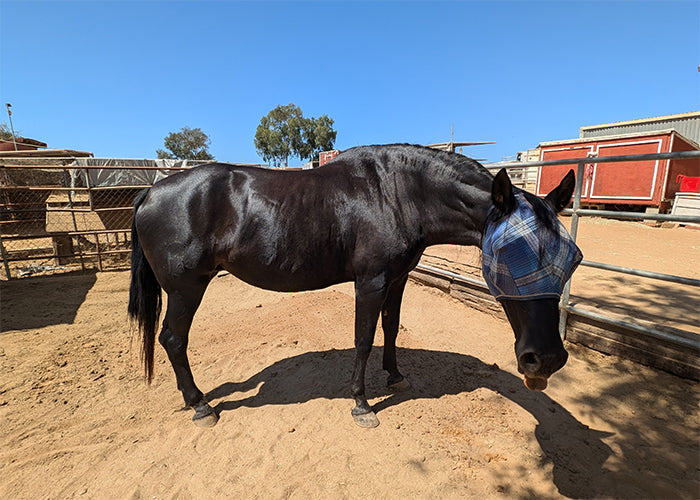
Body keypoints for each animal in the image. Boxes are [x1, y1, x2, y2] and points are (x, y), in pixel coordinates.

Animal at [129, 143, 576, 428]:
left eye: (572, 257)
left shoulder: (398, 278)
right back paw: (200, 404)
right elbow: (363, 338)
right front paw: (361, 403)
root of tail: (150, 192)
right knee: (173, 339)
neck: (397, 193)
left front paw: (395, 376)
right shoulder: (371, 282)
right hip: (186, 288)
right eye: (511, 251)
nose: (546, 360)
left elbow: (390, 329)